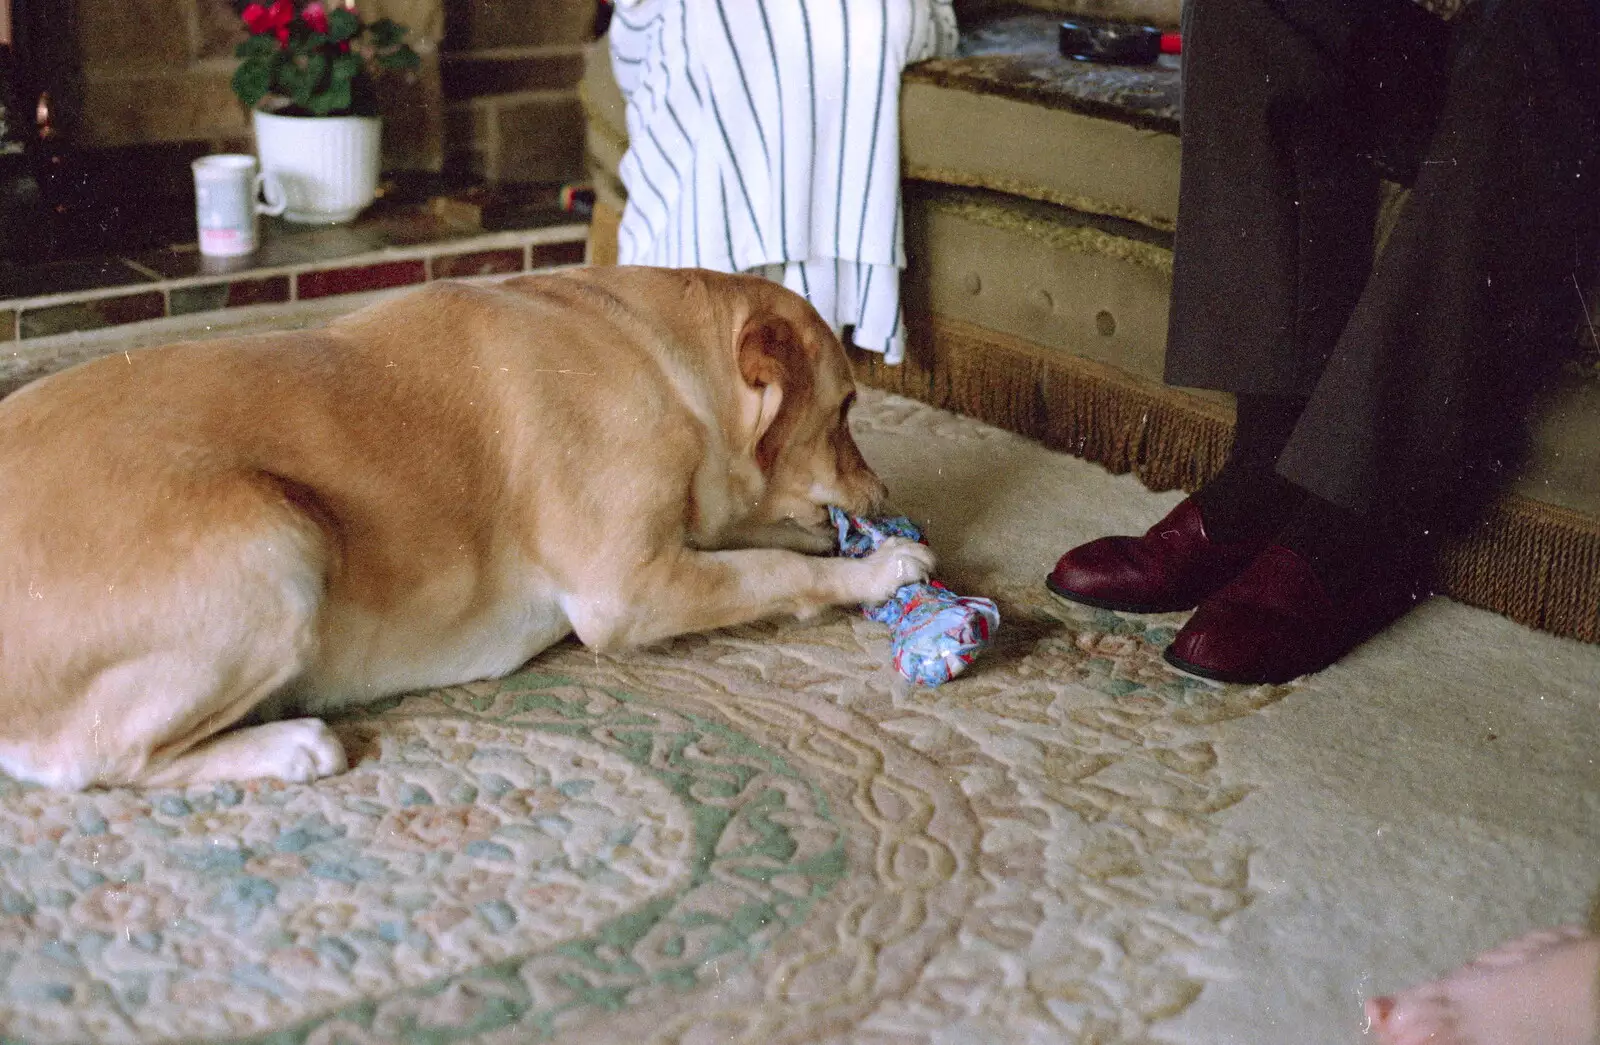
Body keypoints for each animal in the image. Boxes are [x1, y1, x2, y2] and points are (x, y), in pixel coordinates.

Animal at [0, 265, 934, 787]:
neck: (657, 358)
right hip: (280, 540)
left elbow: (760, 545)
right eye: (846, 410)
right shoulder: (628, 589)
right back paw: (290, 746)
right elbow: (776, 576)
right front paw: (882, 566)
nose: (886, 486)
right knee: (97, 763)